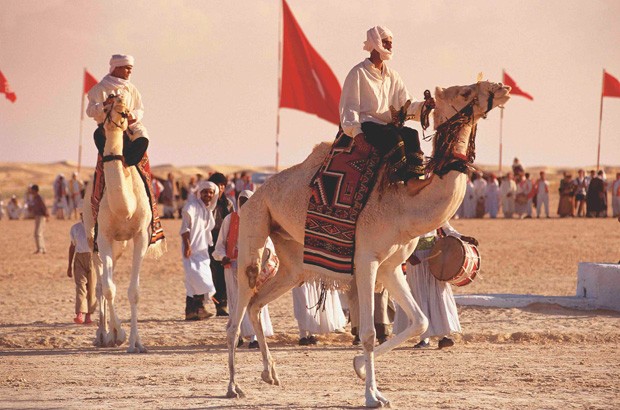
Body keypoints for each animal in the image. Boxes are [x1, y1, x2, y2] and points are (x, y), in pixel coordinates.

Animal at [81, 94, 162, 354]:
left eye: (126, 111)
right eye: (105, 107)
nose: (116, 113)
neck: (124, 207)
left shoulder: (140, 236)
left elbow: (133, 291)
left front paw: (136, 342)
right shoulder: (104, 236)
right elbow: (109, 288)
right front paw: (119, 334)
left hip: (119, 245)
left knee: (108, 277)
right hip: (93, 238)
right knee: (101, 283)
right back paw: (103, 335)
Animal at [225, 80, 512, 406]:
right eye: (464, 92)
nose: (501, 87)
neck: (404, 206)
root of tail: (251, 195)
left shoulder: (391, 266)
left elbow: (419, 321)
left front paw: (360, 369)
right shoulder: (366, 260)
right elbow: (369, 333)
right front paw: (373, 395)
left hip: (292, 262)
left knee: (257, 303)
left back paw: (270, 373)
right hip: (254, 223)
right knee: (238, 310)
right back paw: (233, 386)